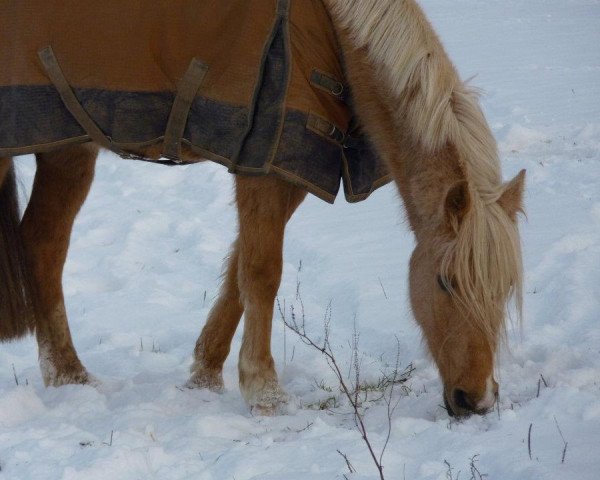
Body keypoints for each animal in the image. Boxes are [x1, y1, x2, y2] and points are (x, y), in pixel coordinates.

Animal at [0, 0, 524, 416]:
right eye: (445, 282)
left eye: (503, 290)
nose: (477, 399)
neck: (330, 25)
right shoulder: (264, 167)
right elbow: (261, 272)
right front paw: (264, 393)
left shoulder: (287, 171)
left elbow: (238, 271)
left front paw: (205, 375)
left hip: (68, 150)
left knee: (42, 244)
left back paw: (69, 377)